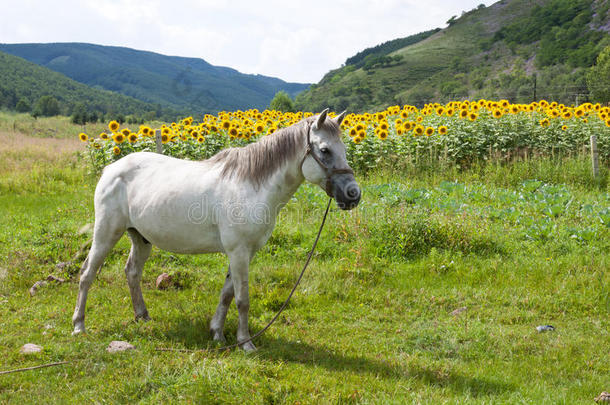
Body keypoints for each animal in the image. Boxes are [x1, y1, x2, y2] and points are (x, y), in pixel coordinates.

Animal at [72, 108, 358, 350]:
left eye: (344, 148)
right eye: (325, 150)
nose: (353, 194)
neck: (251, 185)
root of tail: (112, 168)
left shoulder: (244, 253)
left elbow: (227, 294)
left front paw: (217, 334)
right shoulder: (239, 252)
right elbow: (242, 299)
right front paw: (245, 343)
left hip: (140, 238)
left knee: (132, 272)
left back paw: (142, 316)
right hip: (107, 233)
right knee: (87, 274)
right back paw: (79, 326)